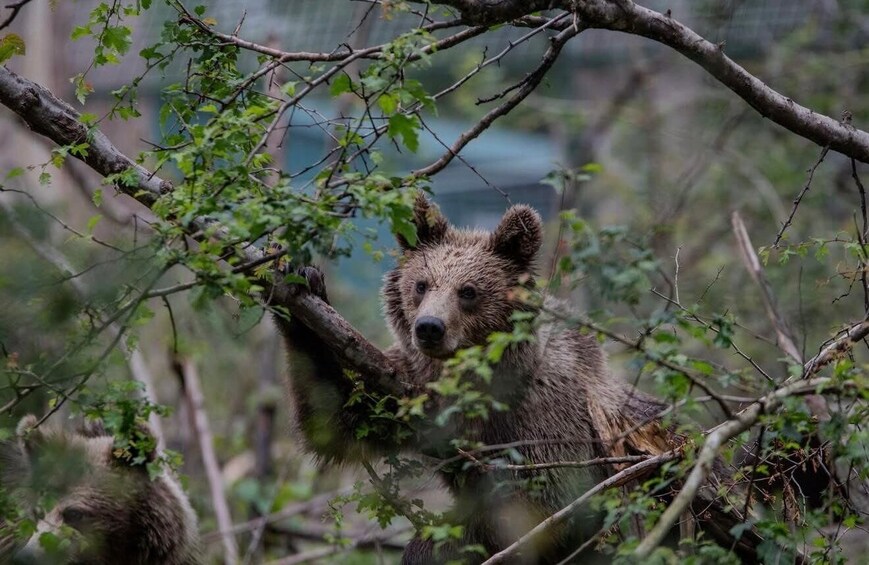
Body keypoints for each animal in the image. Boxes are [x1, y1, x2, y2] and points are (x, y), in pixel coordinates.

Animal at [274, 195, 680, 563]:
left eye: (468, 291)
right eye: (421, 284)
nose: (429, 327)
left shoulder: (545, 420)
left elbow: (539, 505)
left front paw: (430, 546)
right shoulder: (410, 387)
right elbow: (338, 418)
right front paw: (303, 285)